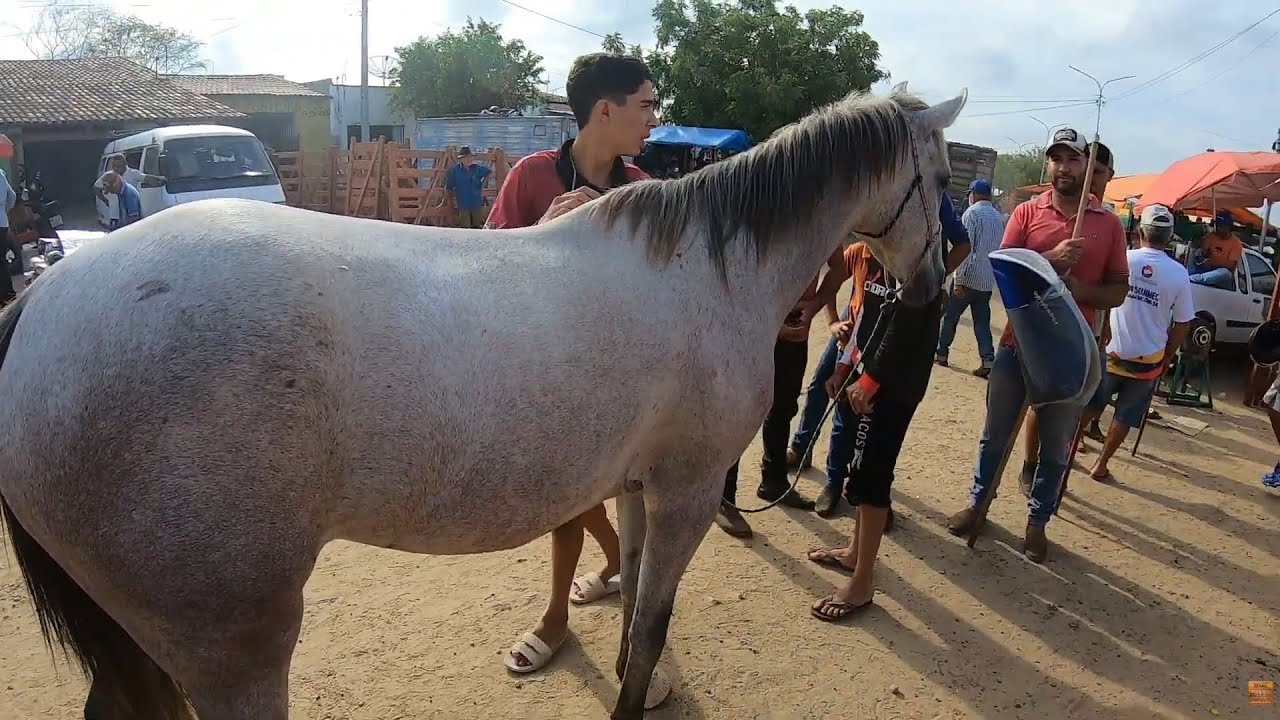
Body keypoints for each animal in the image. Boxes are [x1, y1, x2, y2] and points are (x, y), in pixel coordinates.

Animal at [0, 85, 966, 720]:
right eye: (946, 178)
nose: (932, 289)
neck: (711, 267)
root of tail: (40, 304)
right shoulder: (687, 491)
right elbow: (652, 623)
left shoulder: (639, 487)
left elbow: (633, 615)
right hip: (232, 641)